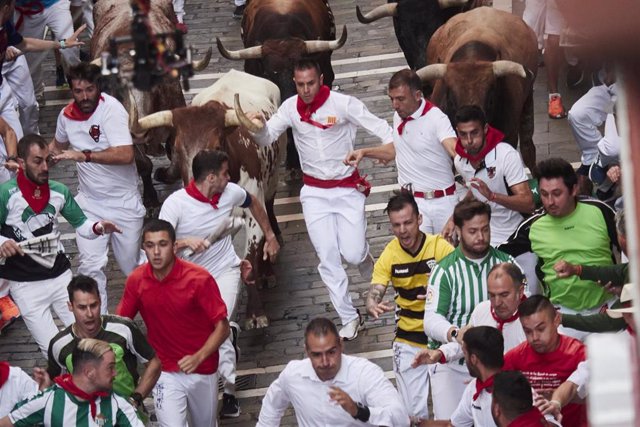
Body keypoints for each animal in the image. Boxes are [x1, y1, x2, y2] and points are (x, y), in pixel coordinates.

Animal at [90, 0, 210, 209]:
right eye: (117, 86)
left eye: (154, 82)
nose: (139, 132)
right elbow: (143, 164)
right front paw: (150, 197)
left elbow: (175, 157)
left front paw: (165, 175)